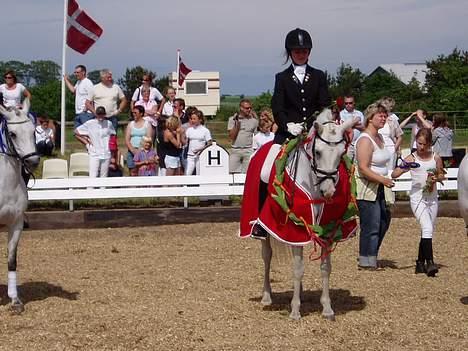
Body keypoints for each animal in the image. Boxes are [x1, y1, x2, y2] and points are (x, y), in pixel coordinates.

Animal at [241, 108, 358, 320]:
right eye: (318, 152)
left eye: (341, 153)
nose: (328, 191)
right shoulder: (295, 230)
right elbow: (298, 269)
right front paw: (295, 310)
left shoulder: (328, 230)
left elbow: (325, 268)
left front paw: (327, 308)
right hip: (265, 231)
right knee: (267, 257)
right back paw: (266, 296)